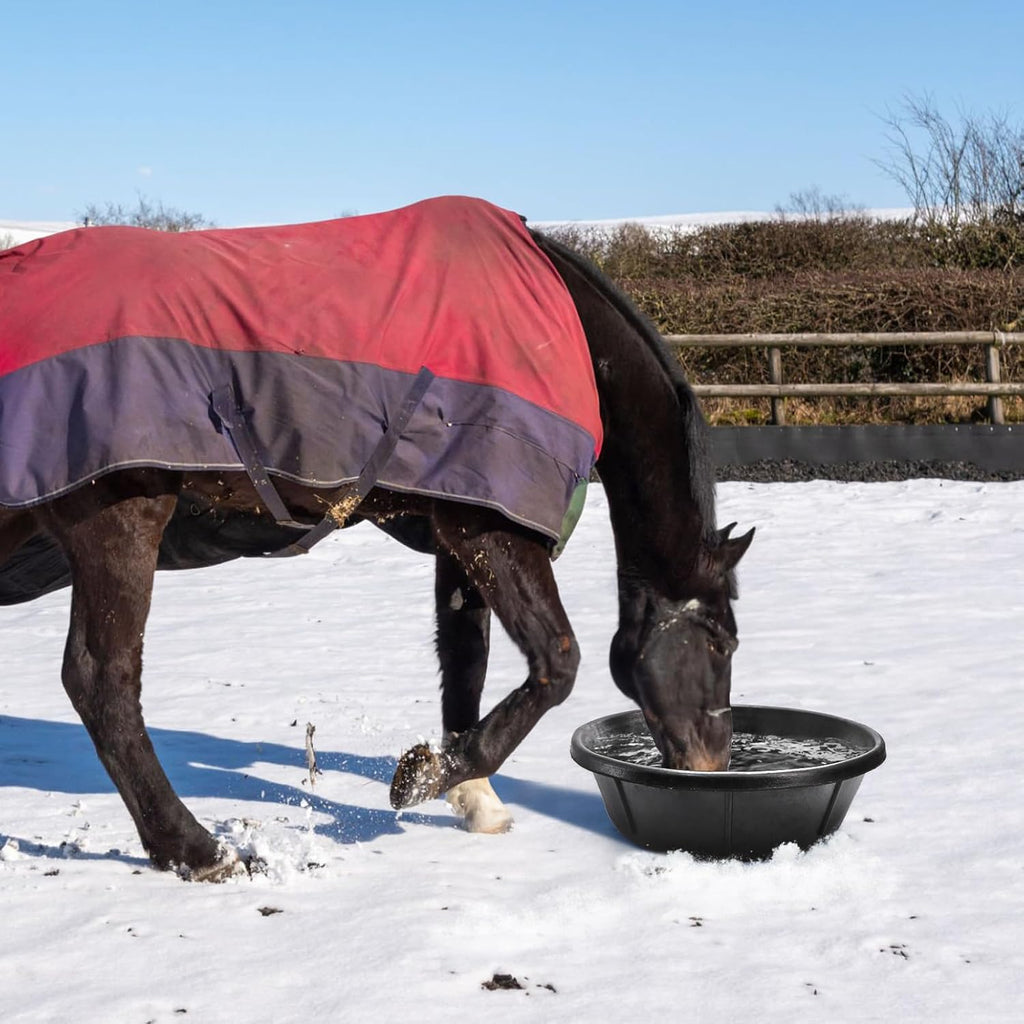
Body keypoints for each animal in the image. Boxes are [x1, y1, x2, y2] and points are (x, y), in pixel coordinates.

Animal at [0, 198, 753, 880]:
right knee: (102, 682)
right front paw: (423, 776)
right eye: (721, 642)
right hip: (119, 520)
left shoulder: (460, 528)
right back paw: (198, 851)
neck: (558, 323)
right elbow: (556, 663)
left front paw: (470, 791)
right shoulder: (492, 531)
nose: (711, 763)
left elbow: (467, 661)